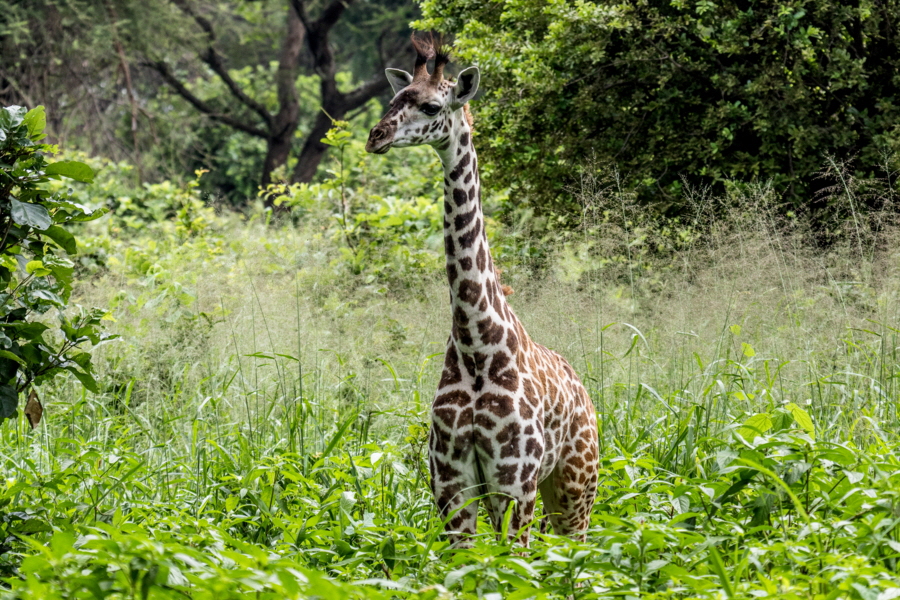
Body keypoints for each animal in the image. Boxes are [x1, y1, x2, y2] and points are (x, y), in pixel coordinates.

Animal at [366, 35, 596, 548]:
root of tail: (584, 389)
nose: (376, 137)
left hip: (576, 486)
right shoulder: (452, 485)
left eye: (431, 105)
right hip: (548, 494)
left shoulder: (514, 481)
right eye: (393, 99)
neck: (476, 345)